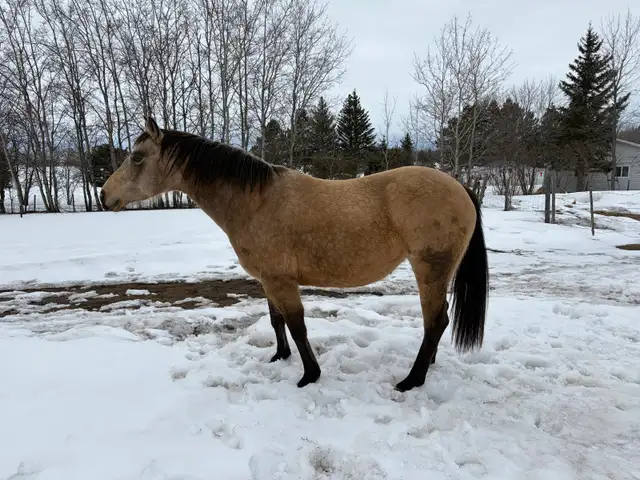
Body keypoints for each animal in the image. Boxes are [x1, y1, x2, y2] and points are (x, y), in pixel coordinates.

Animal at [100, 117, 489, 392]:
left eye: (136, 157)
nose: (104, 195)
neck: (256, 201)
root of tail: (459, 186)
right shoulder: (268, 281)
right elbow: (277, 321)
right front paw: (279, 356)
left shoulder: (281, 281)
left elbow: (297, 324)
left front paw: (309, 375)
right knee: (436, 322)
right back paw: (428, 366)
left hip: (431, 270)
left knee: (435, 321)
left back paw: (412, 380)